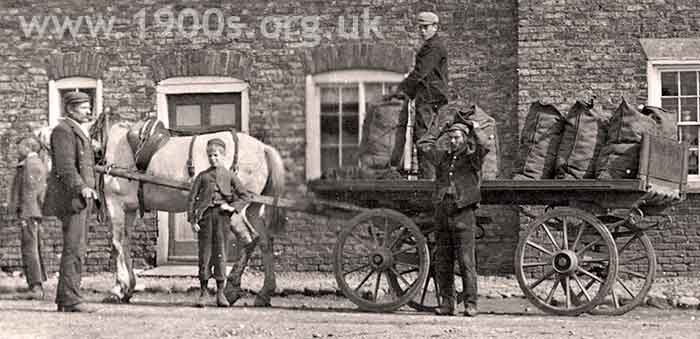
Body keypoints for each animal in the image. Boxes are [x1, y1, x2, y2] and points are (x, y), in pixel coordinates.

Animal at [34, 117, 288, 308]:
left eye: (48, 147)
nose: (46, 190)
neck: (105, 147)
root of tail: (263, 148)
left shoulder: (116, 204)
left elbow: (116, 244)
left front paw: (117, 289)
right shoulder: (129, 209)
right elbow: (125, 243)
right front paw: (128, 288)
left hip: (235, 209)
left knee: (250, 240)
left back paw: (233, 289)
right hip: (253, 208)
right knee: (265, 241)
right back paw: (264, 293)